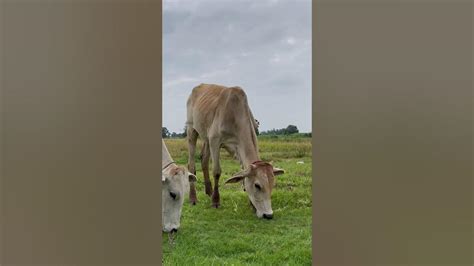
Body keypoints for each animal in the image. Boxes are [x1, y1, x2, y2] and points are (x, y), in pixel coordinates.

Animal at [185, 83, 284, 218]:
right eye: (257, 185)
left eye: (273, 184)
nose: (268, 215)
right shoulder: (215, 140)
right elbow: (217, 172)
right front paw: (216, 201)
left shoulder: (237, 147)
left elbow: (243, 172)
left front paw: (251, 204)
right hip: (192, 130)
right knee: (191, 165)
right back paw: (193, 198)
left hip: (206, 137)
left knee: (204, 160)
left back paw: (209, 191)